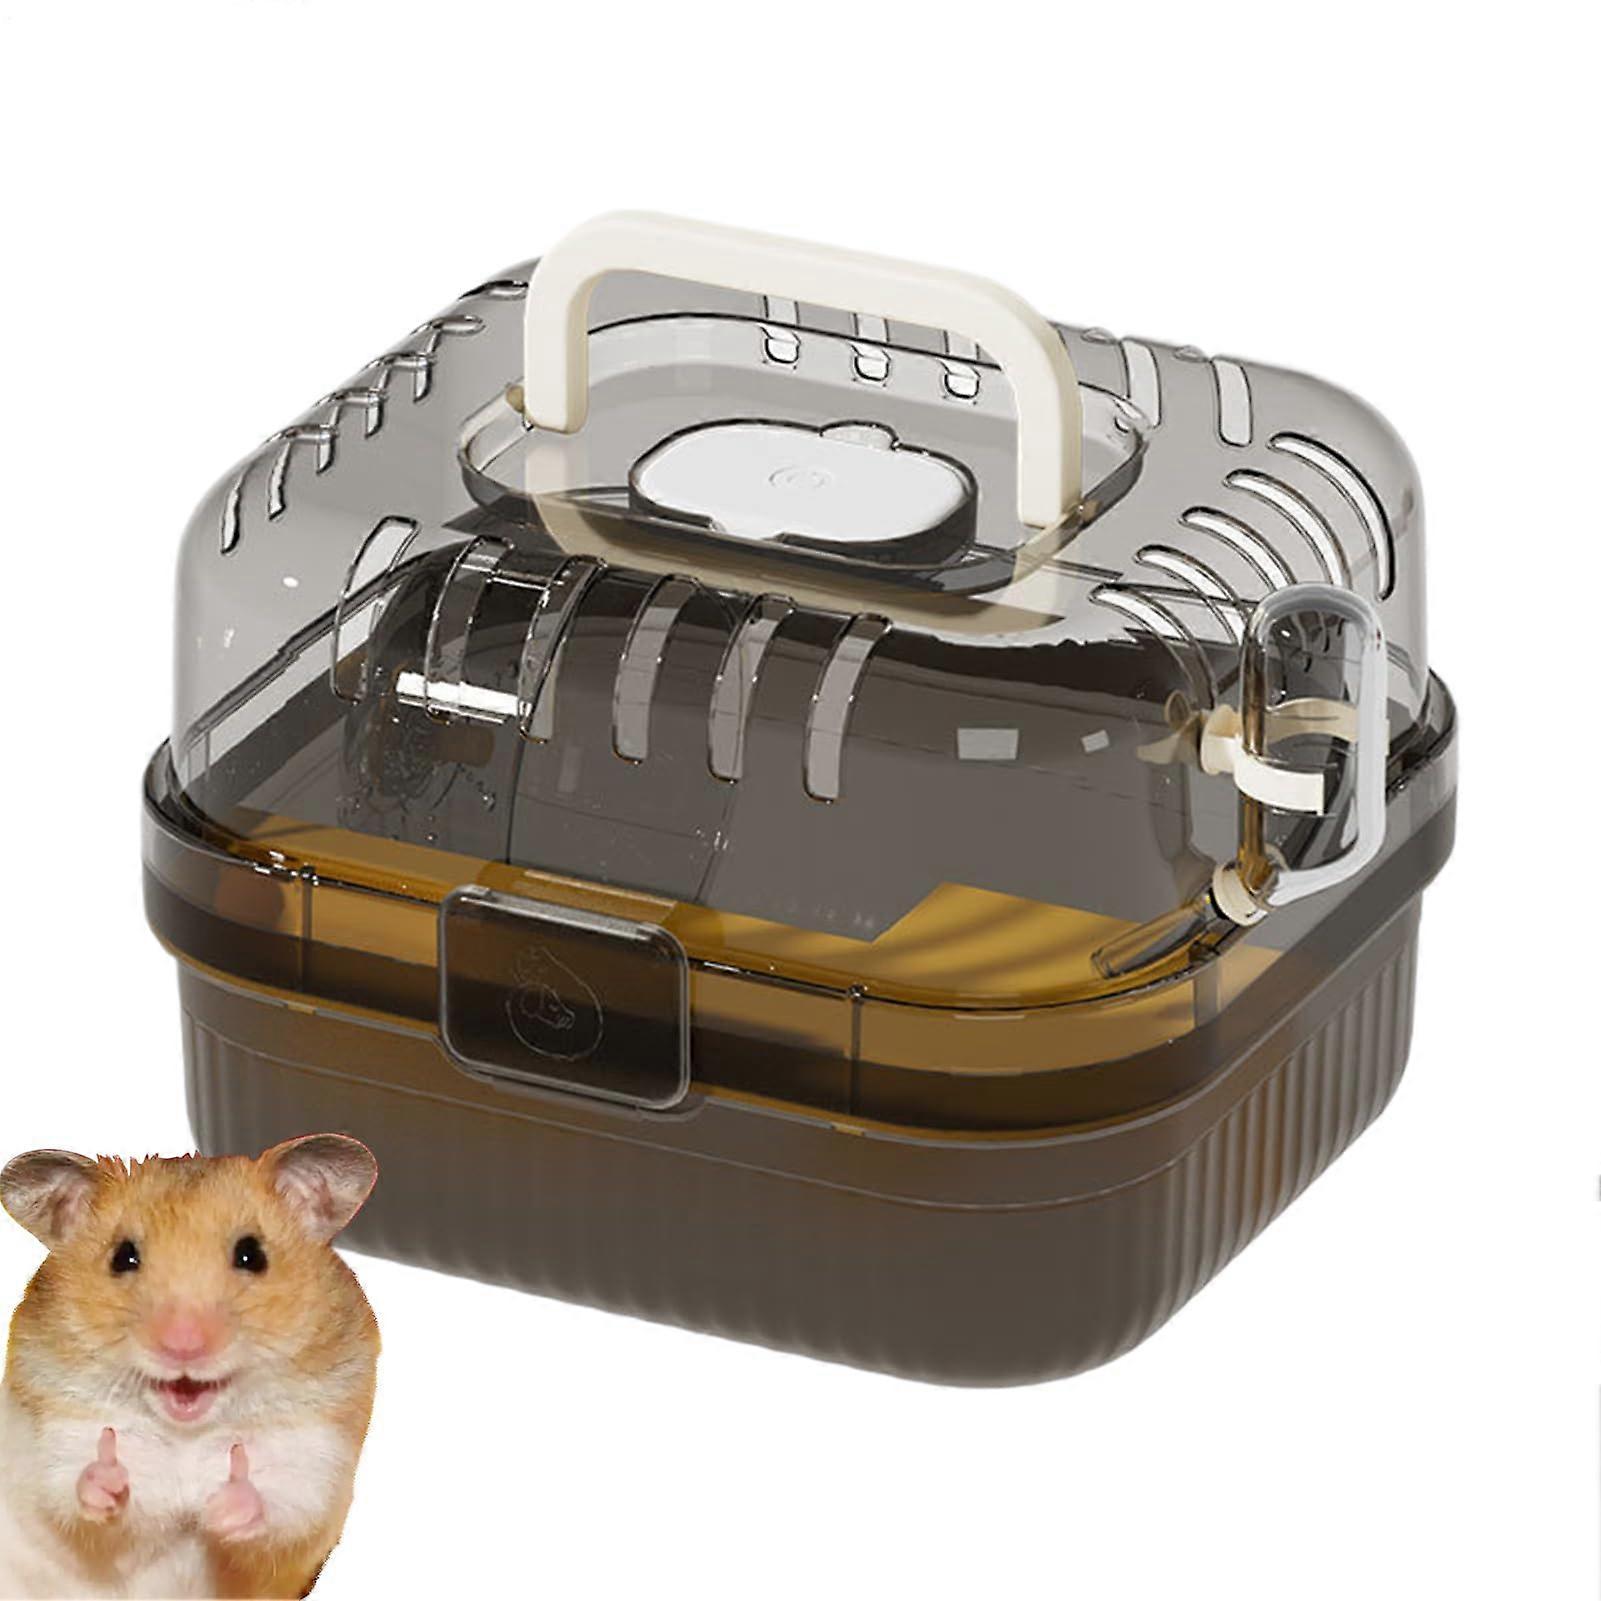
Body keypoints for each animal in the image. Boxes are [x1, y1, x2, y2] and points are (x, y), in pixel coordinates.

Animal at [0, 1136, 379, 1600]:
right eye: (122, 1257)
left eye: (252, 1254)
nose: (183, 1345)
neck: (188, 1433)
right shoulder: (55, 1438)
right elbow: (73, 1491)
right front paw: (110, 1475)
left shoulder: (314, 1460)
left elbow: (282, 1508)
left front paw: (220, 1508)